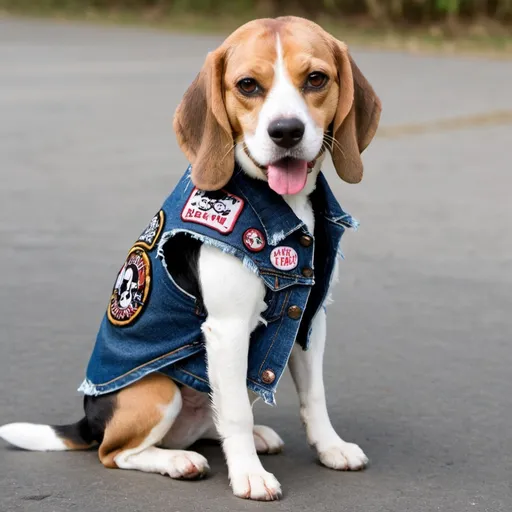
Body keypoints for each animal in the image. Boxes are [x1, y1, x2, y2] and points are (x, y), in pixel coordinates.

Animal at [0, 15, 380, 500]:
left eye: (316, 79)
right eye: (248, 85)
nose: (286, 131)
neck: (280, 205)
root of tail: (90, 420)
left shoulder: (308, 318)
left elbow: (314, 396)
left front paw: (330, 447)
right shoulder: (229, 329)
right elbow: (236, 412)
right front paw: (249, 476)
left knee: (210, 422)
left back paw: (249, 438)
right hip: (159, 391)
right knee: (117, 453)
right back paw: (178, 461)